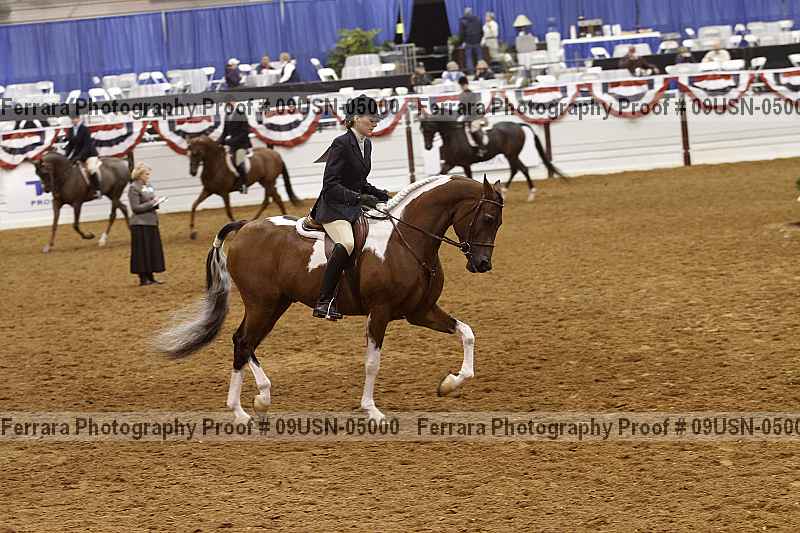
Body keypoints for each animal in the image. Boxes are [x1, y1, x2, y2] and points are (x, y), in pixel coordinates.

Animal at [157, 175, 505, 423]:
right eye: (488, 218)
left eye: (498, 222)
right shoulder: (380, 312)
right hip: (262, 303)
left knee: (244, 341)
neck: (406, 241)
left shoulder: (420, 311)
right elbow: (372, 362)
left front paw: (450, 383)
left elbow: (467, 333)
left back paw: (258, 400)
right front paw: (371, 410)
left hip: (276, 304)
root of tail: (245, 227)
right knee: (243, 341)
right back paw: (243, 409)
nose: (482, 264)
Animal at [419, 110, 565, 202]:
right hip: (510, 155)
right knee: (516, 169)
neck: (454, 136)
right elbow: (439, 174)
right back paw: (505, 192)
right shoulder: (450, 163)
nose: (428, 147)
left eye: (428, 128)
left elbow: (469, 177)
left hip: (512, 154)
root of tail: (517, 125)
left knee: (522, 169)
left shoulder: (465, 164)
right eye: (422, 130)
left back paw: (531, 194)